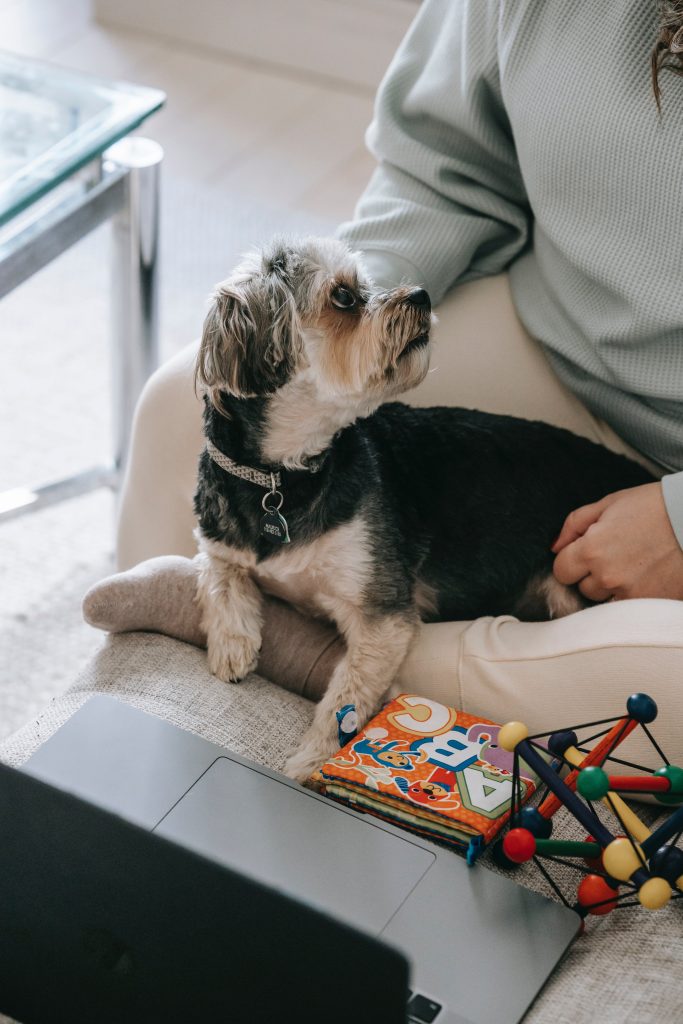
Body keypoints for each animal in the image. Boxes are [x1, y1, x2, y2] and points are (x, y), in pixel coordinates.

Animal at [193, 237, 655, 782]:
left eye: (366, 283)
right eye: (344, 296)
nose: (421, 294)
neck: (284, 476)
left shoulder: (382, 613)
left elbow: (346, 696)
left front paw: (310, 762)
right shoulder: (219, 538)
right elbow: (219, 573)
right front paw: (232, 646)